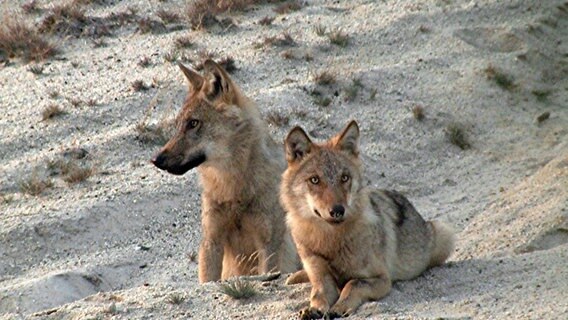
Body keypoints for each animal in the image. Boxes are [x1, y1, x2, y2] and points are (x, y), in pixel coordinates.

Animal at [153, 60, 300, 282]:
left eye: (193, 123)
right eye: (178, 125)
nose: (156, 159)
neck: (232, 188)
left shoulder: (269, 245)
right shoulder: (212, 241)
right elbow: (207, 280)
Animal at [282, 120, 454, 318]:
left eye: (344, 178)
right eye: (315, 180)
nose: (338, 210)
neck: (330, 240)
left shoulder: (382, 279)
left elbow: (353, 284)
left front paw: (339, 307)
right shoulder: (321, 277)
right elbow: (318, 292)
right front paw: (315, 309)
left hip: (444, 233)